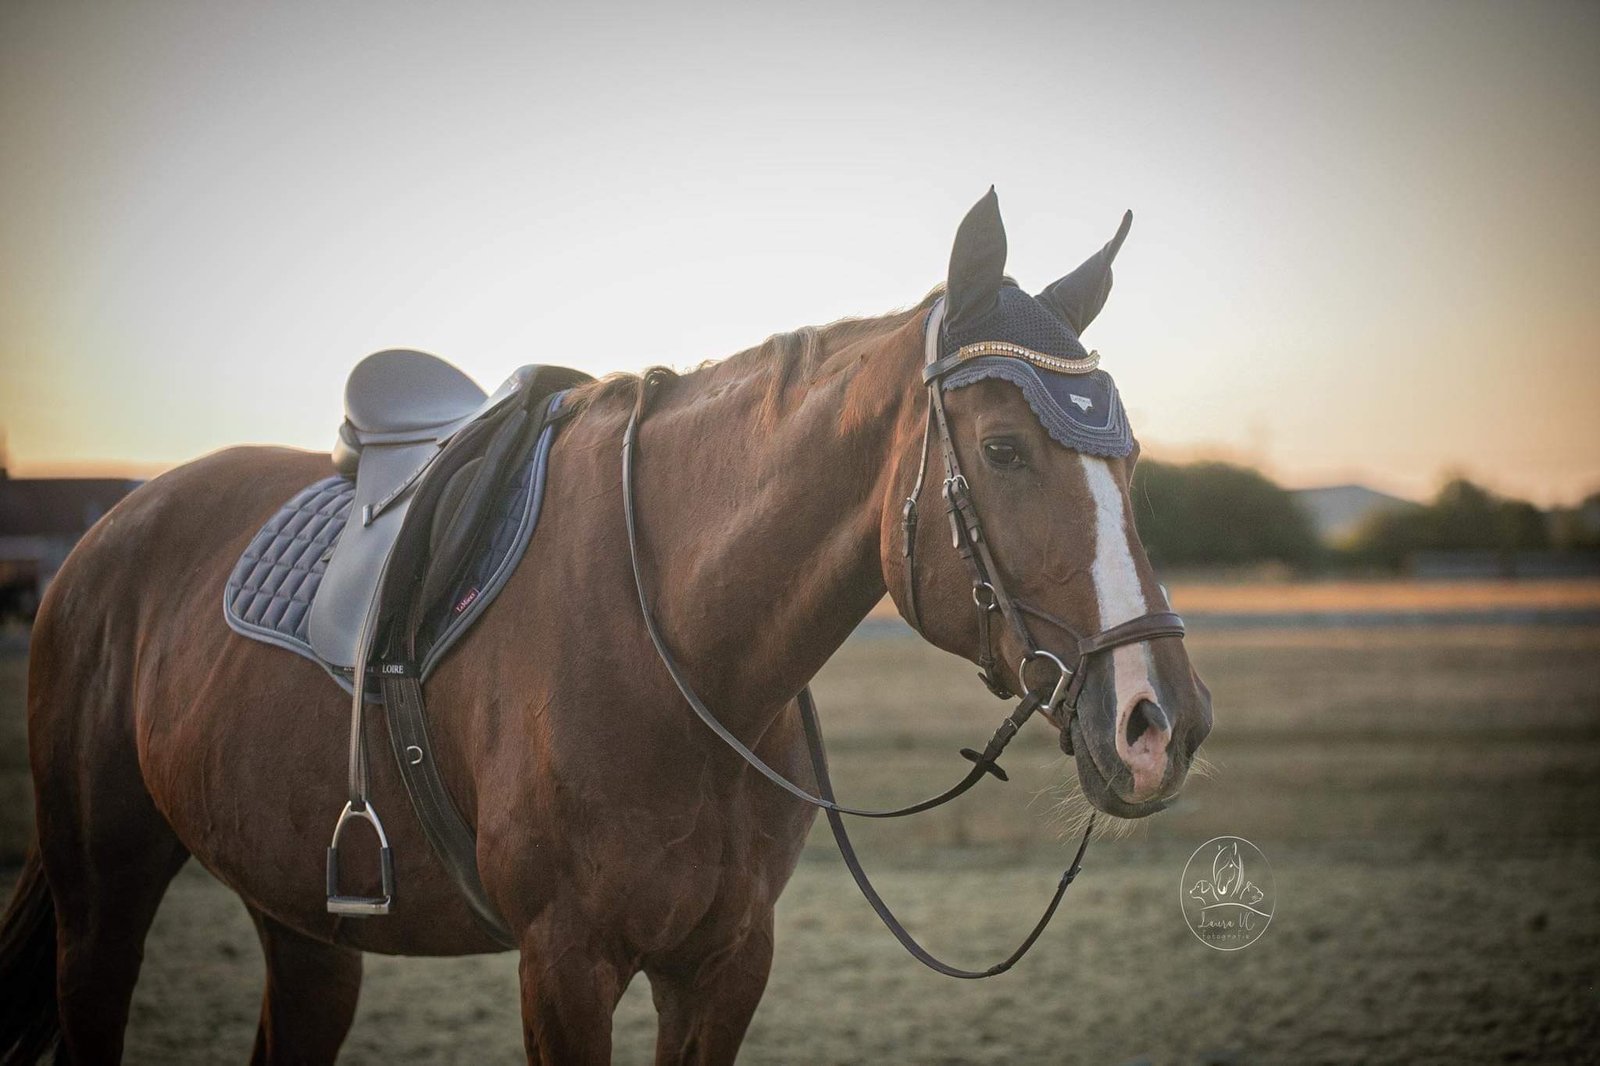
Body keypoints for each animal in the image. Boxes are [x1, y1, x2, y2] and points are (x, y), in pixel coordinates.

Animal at [0, 190, 1212, 1064]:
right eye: (1004, 450)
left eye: (1130, 460)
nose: (1164, 723)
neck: (683, 662)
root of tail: (111, 532)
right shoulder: (564, 964)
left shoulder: (724, 964)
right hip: (100, 900)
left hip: (301, 918)